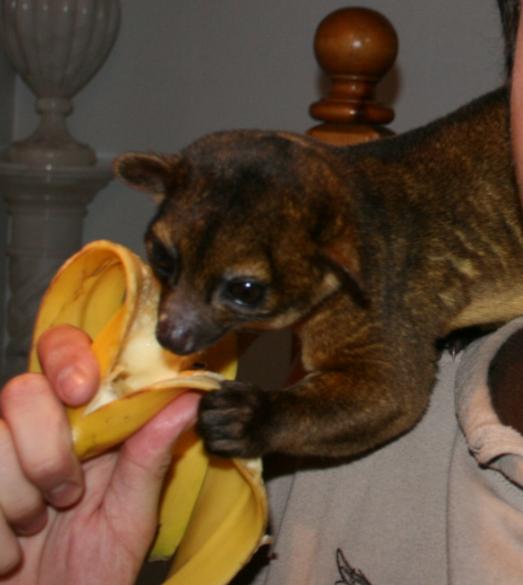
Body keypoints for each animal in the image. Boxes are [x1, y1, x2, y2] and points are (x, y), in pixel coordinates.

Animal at [113, 86, 523, 461]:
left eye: (245, 291)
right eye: (161, 257)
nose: (171, 336)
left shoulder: (381, 305)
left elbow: (397, 393)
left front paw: (249, 419)